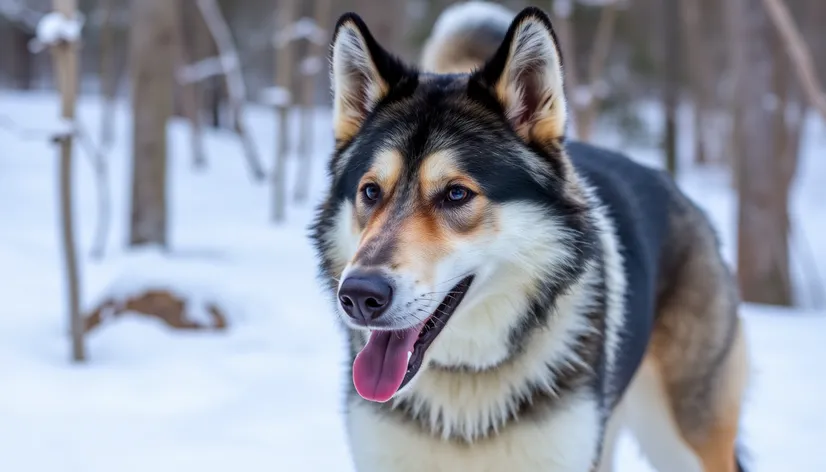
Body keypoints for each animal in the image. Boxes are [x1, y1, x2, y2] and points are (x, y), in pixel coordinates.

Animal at [308, 1, 748, 470]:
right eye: (371, 191)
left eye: (456, 193)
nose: (360, 295)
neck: (467, 380)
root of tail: (678, 192)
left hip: (681, 441)